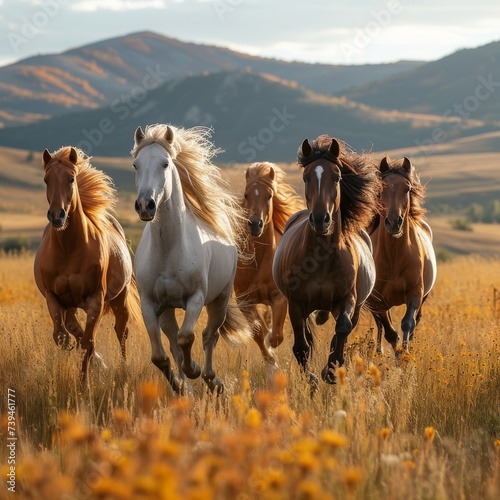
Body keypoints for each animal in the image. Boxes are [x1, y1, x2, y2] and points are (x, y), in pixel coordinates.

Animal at [34, 146, 142, 380]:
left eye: (71, 178)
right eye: (46, 179)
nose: (57, 216)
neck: (68, 249)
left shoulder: (95, 300)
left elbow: (87, 343)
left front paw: (85, 385)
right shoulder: (53, 297)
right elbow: (62, 337)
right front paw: (94, 366)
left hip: (120, 298)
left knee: (121, 331)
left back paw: (122, 368)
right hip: (72, 305)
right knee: (73, 328)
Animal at [131, 123, 252, 392]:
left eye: (165, 163)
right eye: (135, 165)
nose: (145, 205)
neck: (168, 251)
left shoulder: (196, 298)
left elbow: (188, 337)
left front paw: (193, 369)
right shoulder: (150, 304)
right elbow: (161, 355)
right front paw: (179, 385)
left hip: (219, 300)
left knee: (210, 336)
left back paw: (211, 379)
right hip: (167, 311)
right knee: (175, 343)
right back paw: (187, 386)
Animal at [234, 162, 304, 366]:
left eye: (269, 196)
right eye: (246, 195)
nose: (255, 224)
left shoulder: (279, 297)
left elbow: (276, 336)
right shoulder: (244, 301)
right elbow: (259, 333)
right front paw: (271, 362)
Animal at [274, 135, 378, 384]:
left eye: (337, 176)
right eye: (305, 177)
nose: (321, 219)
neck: (320, 260)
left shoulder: (348, 299)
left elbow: (342, 328)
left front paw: (330, 370)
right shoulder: (296, 304)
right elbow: (301, 346)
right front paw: (311, 377)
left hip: (357, 306)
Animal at [368, 154, 438, 354]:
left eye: (407, 189)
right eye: (382, 188)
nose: (394, 222)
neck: (394, 256)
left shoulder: (415, 294)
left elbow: (408, 323)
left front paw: (405, 353)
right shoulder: (376, 302)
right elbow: (390, 332)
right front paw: (397, 353)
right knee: (380, 326)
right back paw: (379, 352)